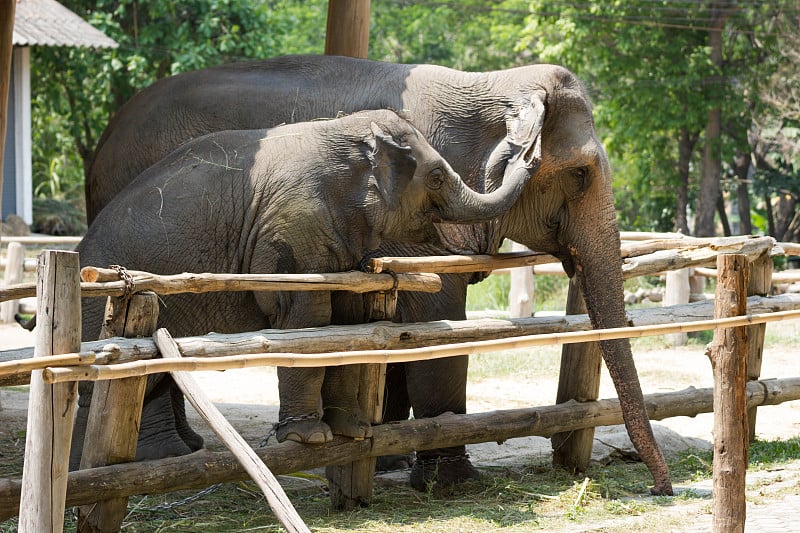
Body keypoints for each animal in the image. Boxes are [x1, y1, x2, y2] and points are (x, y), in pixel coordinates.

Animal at [86, 54, 676, 494]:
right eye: (580, 174)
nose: (659, 488)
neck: (490, 81)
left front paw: (387, 455)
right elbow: (436, 317)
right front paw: (452, 485)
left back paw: (186, 449)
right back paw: (160, 457)